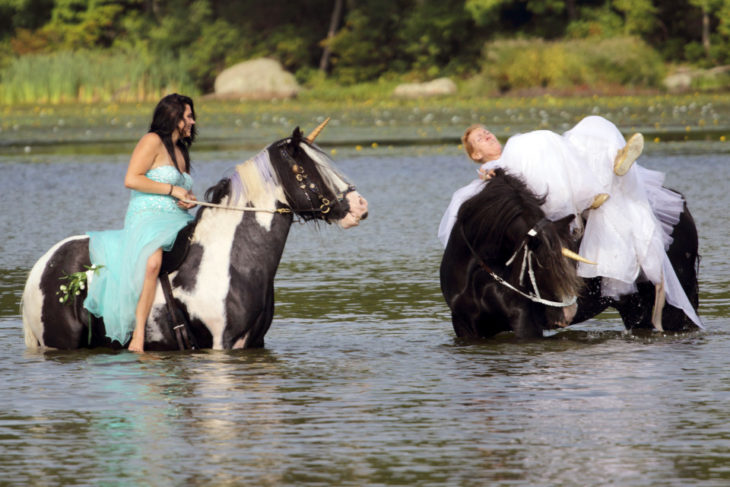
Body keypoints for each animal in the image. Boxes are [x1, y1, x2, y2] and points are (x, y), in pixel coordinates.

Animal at [23, 123, 370, 350]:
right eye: (306, 171)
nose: (359, 206)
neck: (229, 260)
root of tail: (44, 265)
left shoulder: (254, 344)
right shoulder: (222, 344)